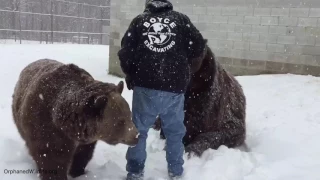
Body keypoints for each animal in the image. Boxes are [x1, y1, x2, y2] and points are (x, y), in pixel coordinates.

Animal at [11, 59, 139, 180]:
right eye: (120, 121)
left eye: (129, 115)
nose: (137, 136)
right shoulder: (46, 128)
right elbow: (52, 158)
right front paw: (56, 176)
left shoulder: (85, 138)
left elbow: (82, 155)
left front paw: (78, 172)